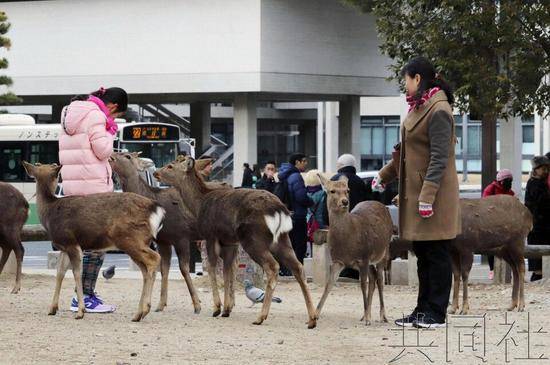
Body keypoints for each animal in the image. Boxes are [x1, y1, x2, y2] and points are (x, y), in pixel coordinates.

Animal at [22, 162, 165, 322]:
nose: (54, 163)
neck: (49, 212)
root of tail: (156, 209)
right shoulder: (64, 247)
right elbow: (60, 273)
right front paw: (52, 308)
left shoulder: (72, 243)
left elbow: (77, 273)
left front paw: (80, 311)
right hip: (136, 242)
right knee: (145, 270)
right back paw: (138, 313)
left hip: (130, 238)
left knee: (154, 258)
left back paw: (145, 309)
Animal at [109, 151, 202, 312]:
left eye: (128, 156)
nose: (111, 155)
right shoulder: (163, 240)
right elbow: (163, 269)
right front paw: (160, 304)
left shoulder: (181, 236)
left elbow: (183, 269)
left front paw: (197, 304)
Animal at [154, 156, 320, 328]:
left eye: (170, 166)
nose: (155, 173)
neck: (198, 205)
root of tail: (280, 210)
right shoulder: (230, 243)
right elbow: (228, 271)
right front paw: (227, 309)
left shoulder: (210, 235)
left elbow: (213, 268)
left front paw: (217, 308)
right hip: (282, 239)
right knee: (298, 267)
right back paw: (312, 319)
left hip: (254, 239)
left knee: (273, 266)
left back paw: (261, 317)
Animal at [316, 173, 394, 324]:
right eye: (332, 190)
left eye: (347, 190)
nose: (345, 201)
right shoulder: (338, 261)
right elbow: (329, 284)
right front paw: (314, 314)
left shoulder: (363, 257)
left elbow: (362, 284)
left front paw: (369, 318)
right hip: (369, 261)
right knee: (373, 278)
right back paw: (365, 315)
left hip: (384, 251)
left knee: (380, 280)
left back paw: (382, 316)